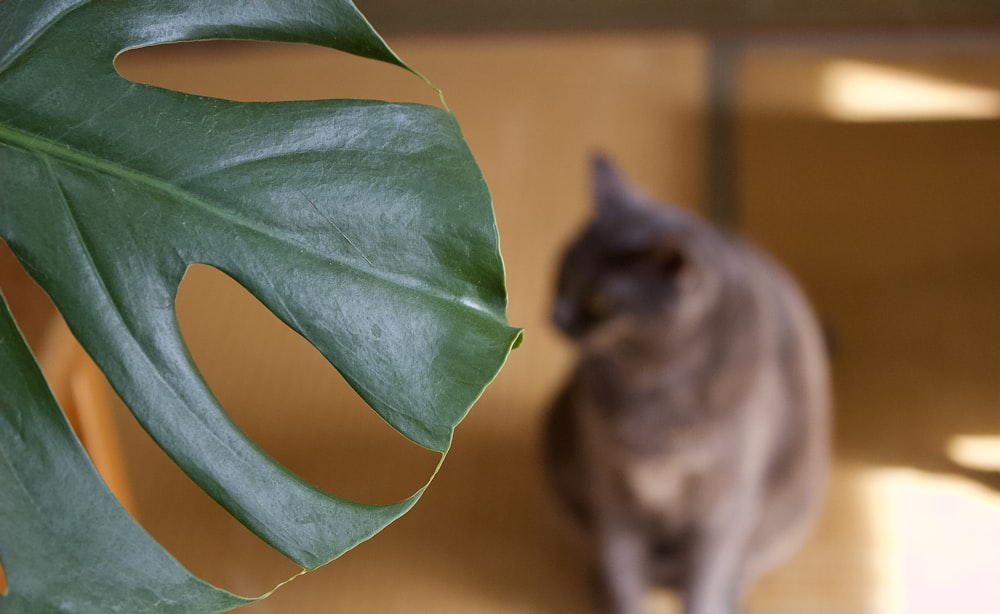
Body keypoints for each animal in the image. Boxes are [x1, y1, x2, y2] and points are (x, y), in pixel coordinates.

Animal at [548, 155, 828, 614]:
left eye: (599, 301)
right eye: (563, 272)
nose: (556, 315)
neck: (649, 383)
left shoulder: (722, 508)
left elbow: (705, 581)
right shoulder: (612, 496)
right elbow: (622, 573)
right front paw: (618, 598)